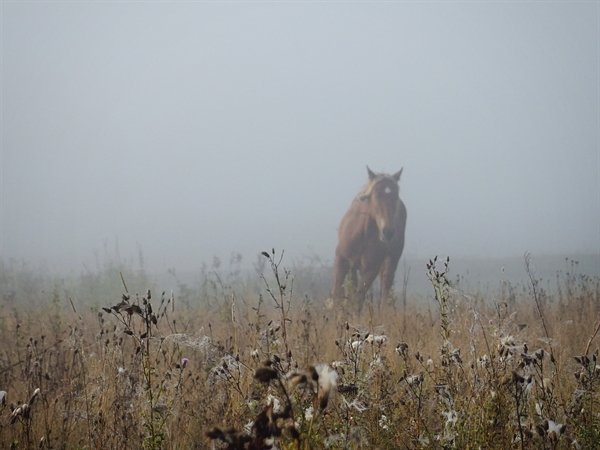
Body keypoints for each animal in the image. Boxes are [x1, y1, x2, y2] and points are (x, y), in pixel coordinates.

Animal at [332, 165, 408, 310]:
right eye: (376, 195)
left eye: (395, 196)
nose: (388, 232)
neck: (361, 234)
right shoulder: (341, 260)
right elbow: (338, 295)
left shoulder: (371, 268)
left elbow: (358, 299)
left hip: (390, 261)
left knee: (385, 288)